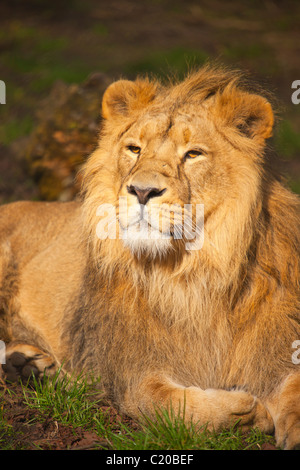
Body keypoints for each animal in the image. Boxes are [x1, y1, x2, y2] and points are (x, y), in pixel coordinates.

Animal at [0, 65, 300, 448]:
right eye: (134, 149)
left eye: (193, 154)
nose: (142, 191)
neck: (191, 273)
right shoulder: (131, 371)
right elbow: (165, 402)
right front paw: (243, 414)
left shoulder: (278, 349)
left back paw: (28, 365)